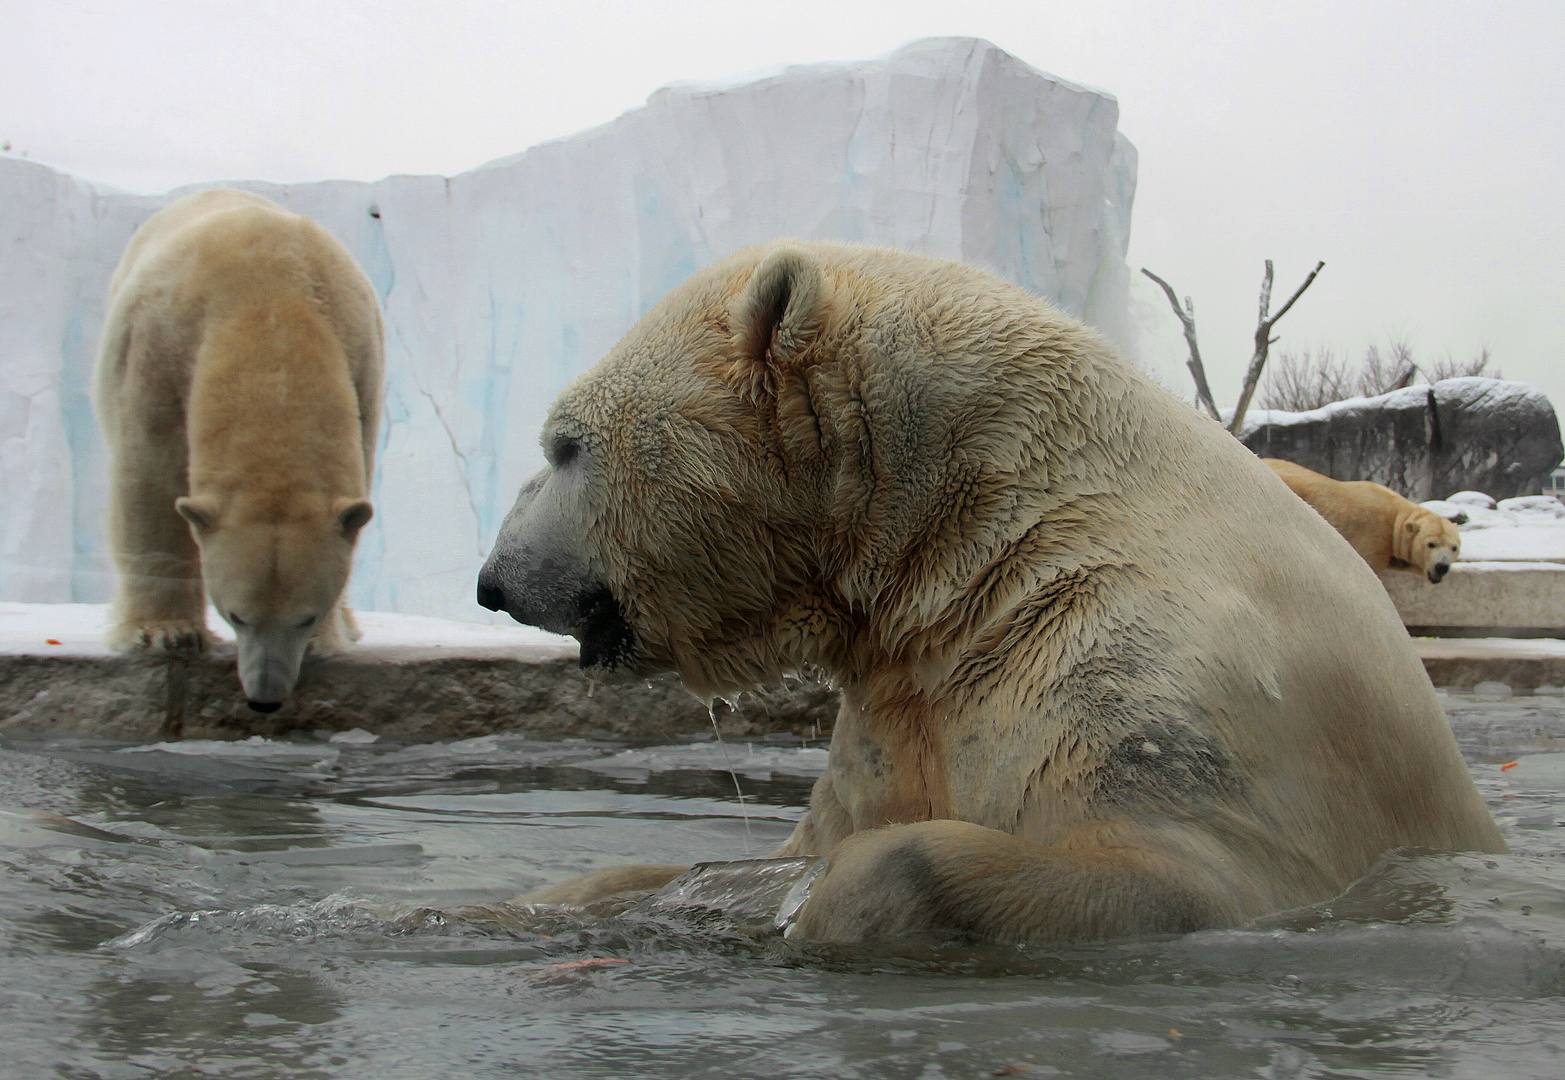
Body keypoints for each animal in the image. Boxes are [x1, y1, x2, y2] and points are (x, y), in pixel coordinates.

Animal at [93, 189, 381, 710]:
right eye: (236, 615)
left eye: (306, 616)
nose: (265, 698)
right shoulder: (159, 346)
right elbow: (149, 475)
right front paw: (166, 633)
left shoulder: (361, 357)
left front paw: (327, 636)